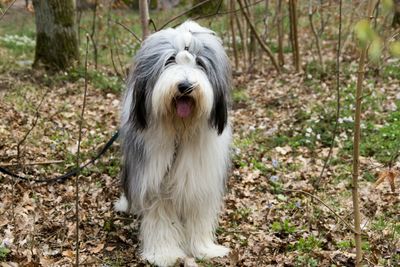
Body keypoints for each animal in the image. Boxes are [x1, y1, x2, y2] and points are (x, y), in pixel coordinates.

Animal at [115, 20, 231, 266]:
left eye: (200, 62)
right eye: (169, 60)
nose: (185, 86)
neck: (179, 131)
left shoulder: (199, 179)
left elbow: (198, 215)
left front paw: (204, 249)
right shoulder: (153, 178)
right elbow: (160, 217)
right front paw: (164, 253)